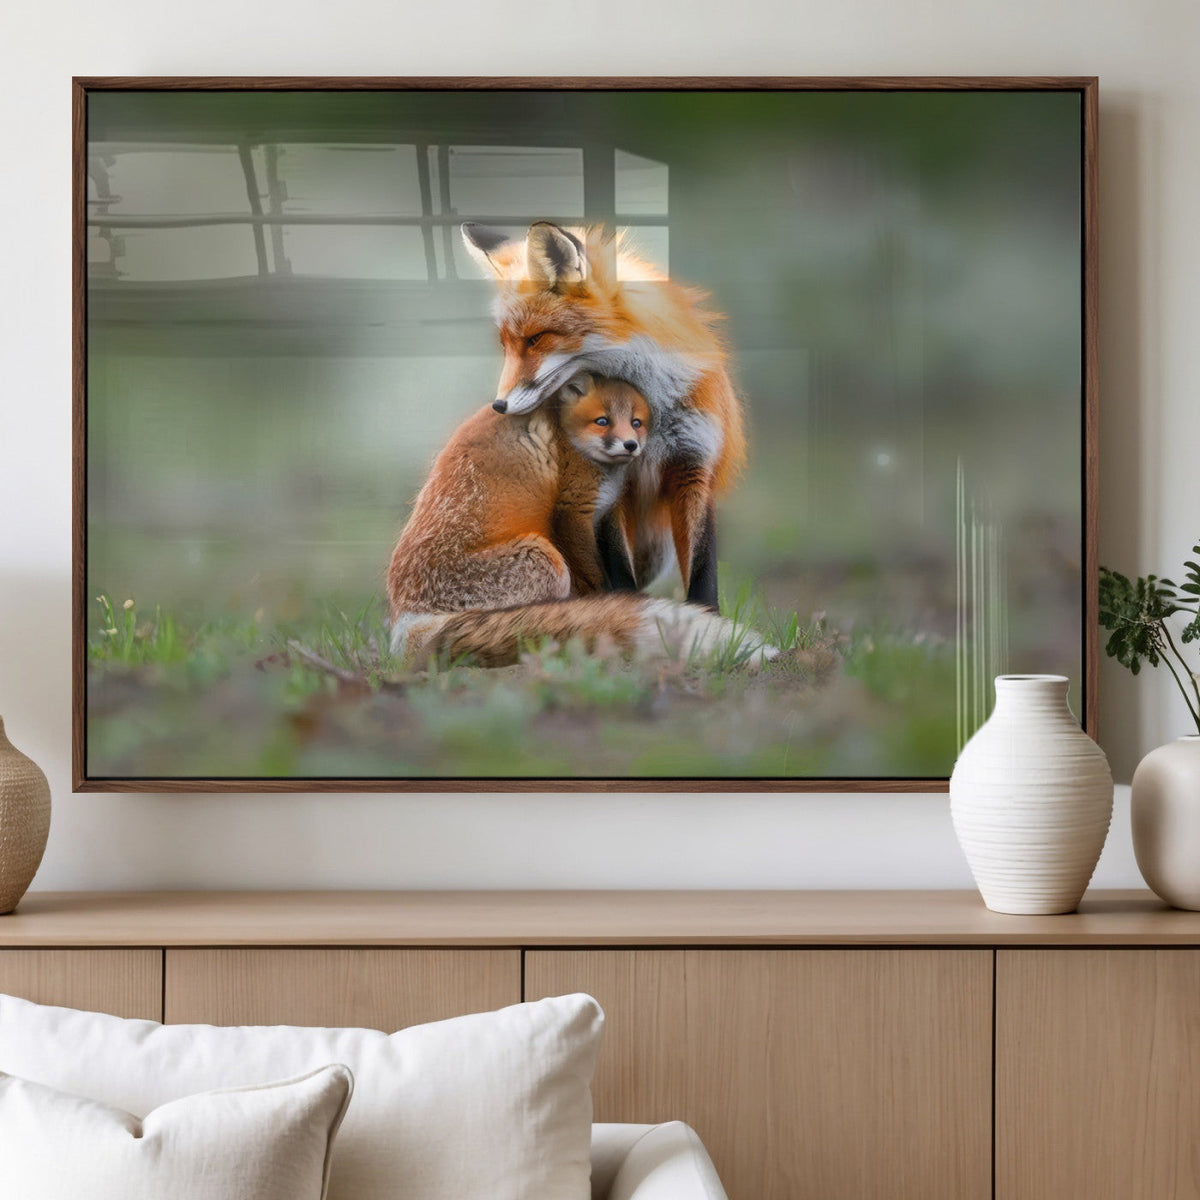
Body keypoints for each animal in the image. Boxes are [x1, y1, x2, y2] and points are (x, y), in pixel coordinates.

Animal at [461, 220, 747, 613]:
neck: (651, 410)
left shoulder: (694, 466)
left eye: (536, 339)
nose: (499, 406)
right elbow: (618, 568)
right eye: (505, 345)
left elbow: (703, 571)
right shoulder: (611, 484)